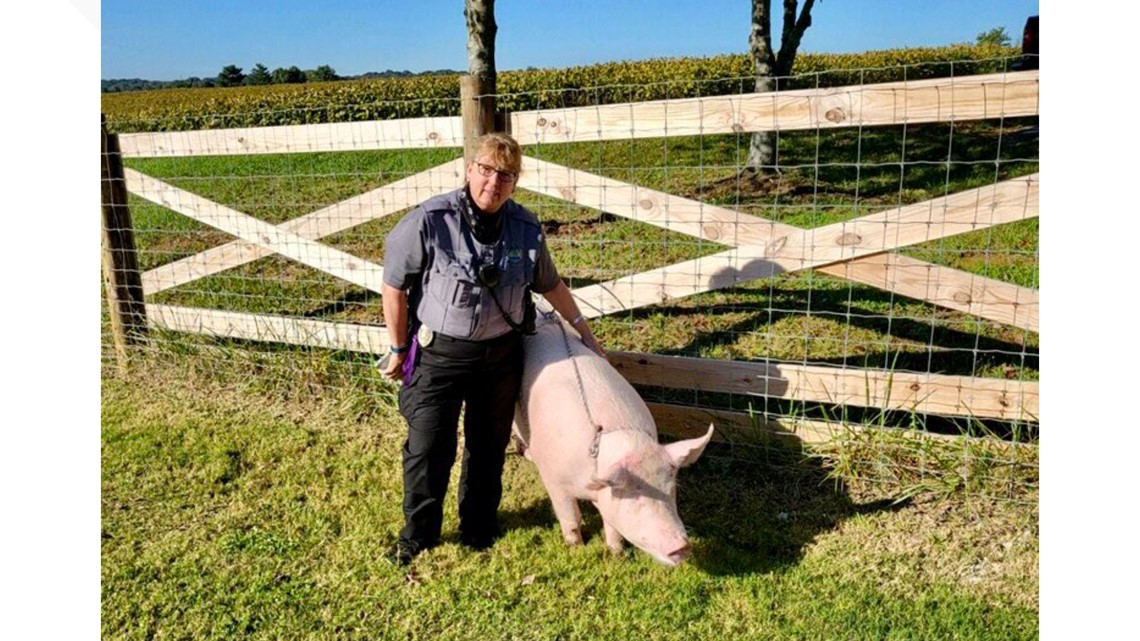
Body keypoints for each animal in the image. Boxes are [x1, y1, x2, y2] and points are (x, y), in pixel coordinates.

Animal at [512, 310, 715, 567]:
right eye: (634, 497)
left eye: (672, 488)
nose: (682, 546)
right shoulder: (554, 480)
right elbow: (571, 517)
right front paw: (577, 548)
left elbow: (612, 525)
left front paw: (616, 554)